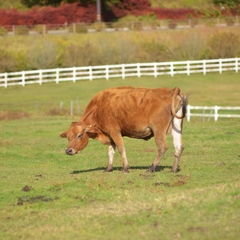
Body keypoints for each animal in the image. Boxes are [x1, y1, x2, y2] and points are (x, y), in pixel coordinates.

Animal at [59, 86, 188, 172]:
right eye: (68, 137)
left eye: (79, 135)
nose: (68, 150)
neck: (98, 108)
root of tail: (171, 90)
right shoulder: (110, 135)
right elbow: (111, 151)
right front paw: (108, 168)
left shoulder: (114, 132)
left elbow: (121, 149)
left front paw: (125, 168)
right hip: (176, 127)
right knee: (179, 147)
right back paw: (173, 169)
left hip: (158, 130)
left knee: (162, 147)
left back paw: (151, 167)